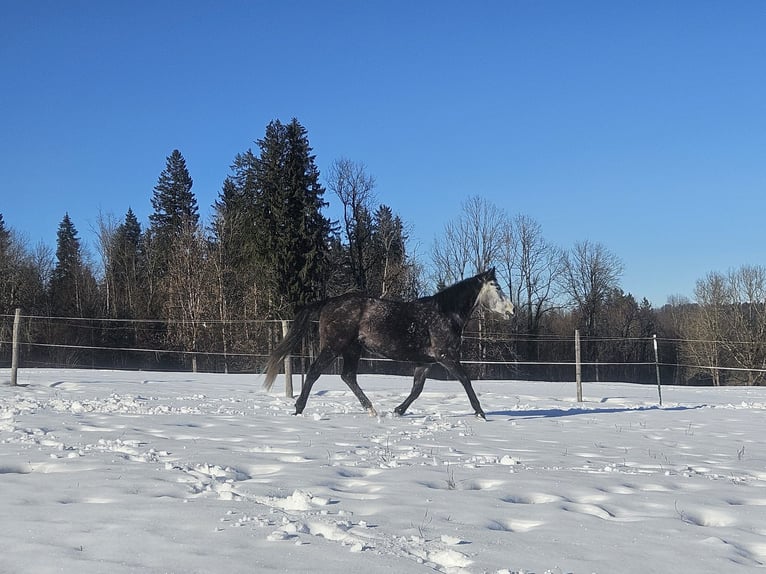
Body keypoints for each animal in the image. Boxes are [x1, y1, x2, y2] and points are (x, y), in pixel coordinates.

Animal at [263, 268, 514, 419]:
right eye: (497, 287)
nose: (512, 311)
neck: (445, 313)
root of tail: (329, 302)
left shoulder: (425, 362)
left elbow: (417, 389)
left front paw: (398, 411)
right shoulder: (446, 356)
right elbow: (465, 380)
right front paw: (481, 413)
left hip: (352, 349)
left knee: (348, 376)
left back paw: (372, 410)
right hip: (334, 346)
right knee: (315, 372)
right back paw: (298, 409)